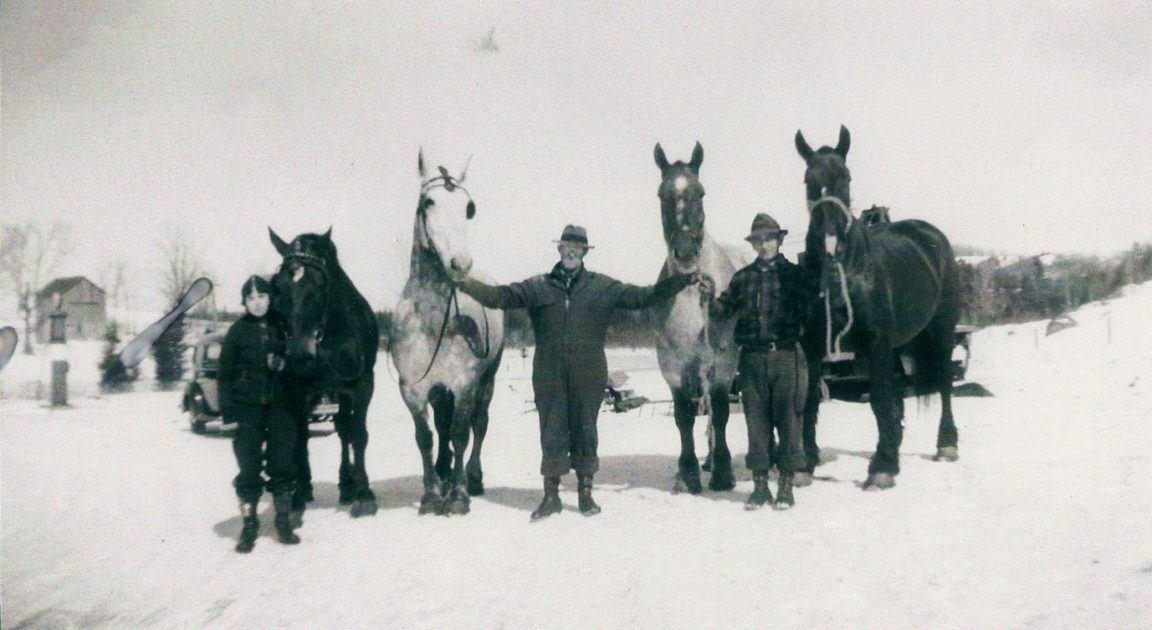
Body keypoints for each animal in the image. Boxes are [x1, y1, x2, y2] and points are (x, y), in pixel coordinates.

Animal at [269, 227, 380, 517]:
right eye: (277, 286)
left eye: (320, 284)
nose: (300, 355)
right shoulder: (297, 389)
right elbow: (299, 438)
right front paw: (296, 496)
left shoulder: (362, 385)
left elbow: (357, 434)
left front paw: (363, 494)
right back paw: (307, 486)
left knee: (343, 429)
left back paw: (346, 485)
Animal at [390, 150, 505, 515]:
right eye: (429, 202)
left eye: (469, 207)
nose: (461, 264)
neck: (431, 319)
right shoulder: (412, 388)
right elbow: (426, 437)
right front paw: (431, 493)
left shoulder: (465, 384)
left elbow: (460, 433)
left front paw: (458, 495)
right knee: (441, 423)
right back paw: (442, 472)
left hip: (487, 380)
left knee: (479, 425)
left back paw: (473, 476)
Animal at [652, 142, 742, 494]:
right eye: (662, 194)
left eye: (700, 192)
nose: (686, 253)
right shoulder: (674, 368)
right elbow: (684, 416)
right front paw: (688, 472)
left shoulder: (722, 366)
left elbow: (721, 413)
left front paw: (723, 473)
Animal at [795, 125, 961, 489]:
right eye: (808, 180)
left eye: (845, 178)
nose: (830, 244)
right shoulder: (812, 347)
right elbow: (810, 399)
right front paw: (804, 465)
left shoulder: (876, 344)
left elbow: (880, 399)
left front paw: (882, 468)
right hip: (898, 345)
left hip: (940, 333)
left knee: (943, 383)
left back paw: (946, 445)